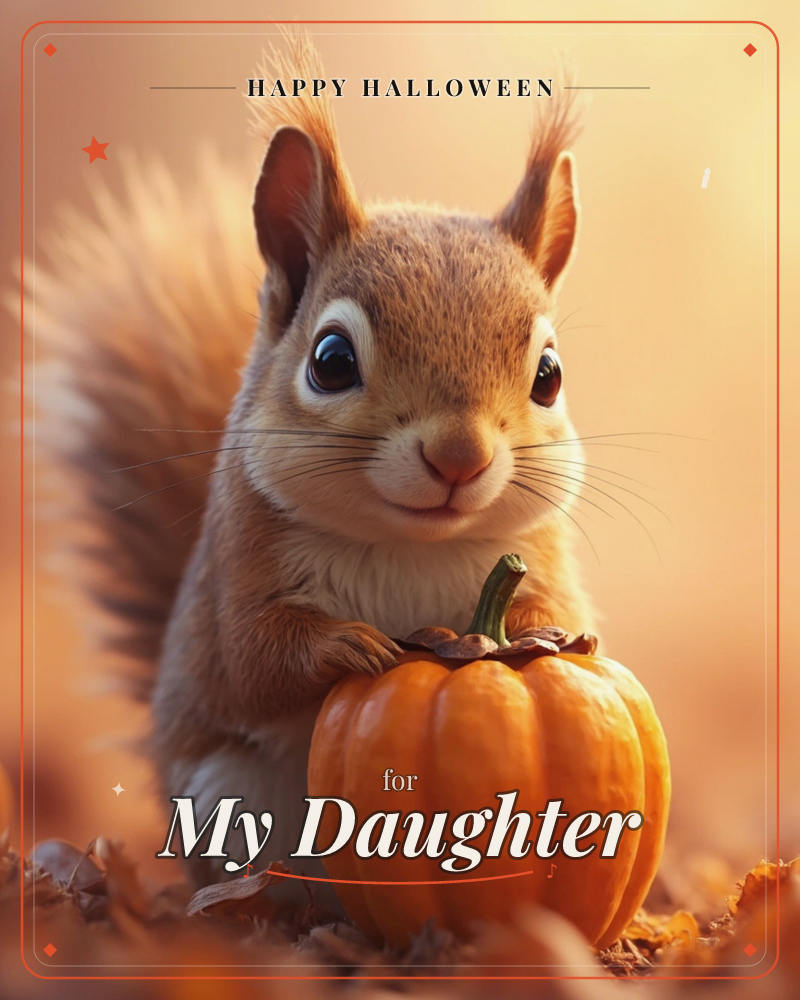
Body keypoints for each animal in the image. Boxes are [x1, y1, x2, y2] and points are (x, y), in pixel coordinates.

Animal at [32, 34, 596, 900]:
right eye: (330, 361)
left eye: (549, 375)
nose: (459, 457)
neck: (409, 546)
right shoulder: (239, 574)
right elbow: (252, 662)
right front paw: (350, 650)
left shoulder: (541, 552)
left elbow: (562, 609)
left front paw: (541, 629)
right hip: (228, 798)